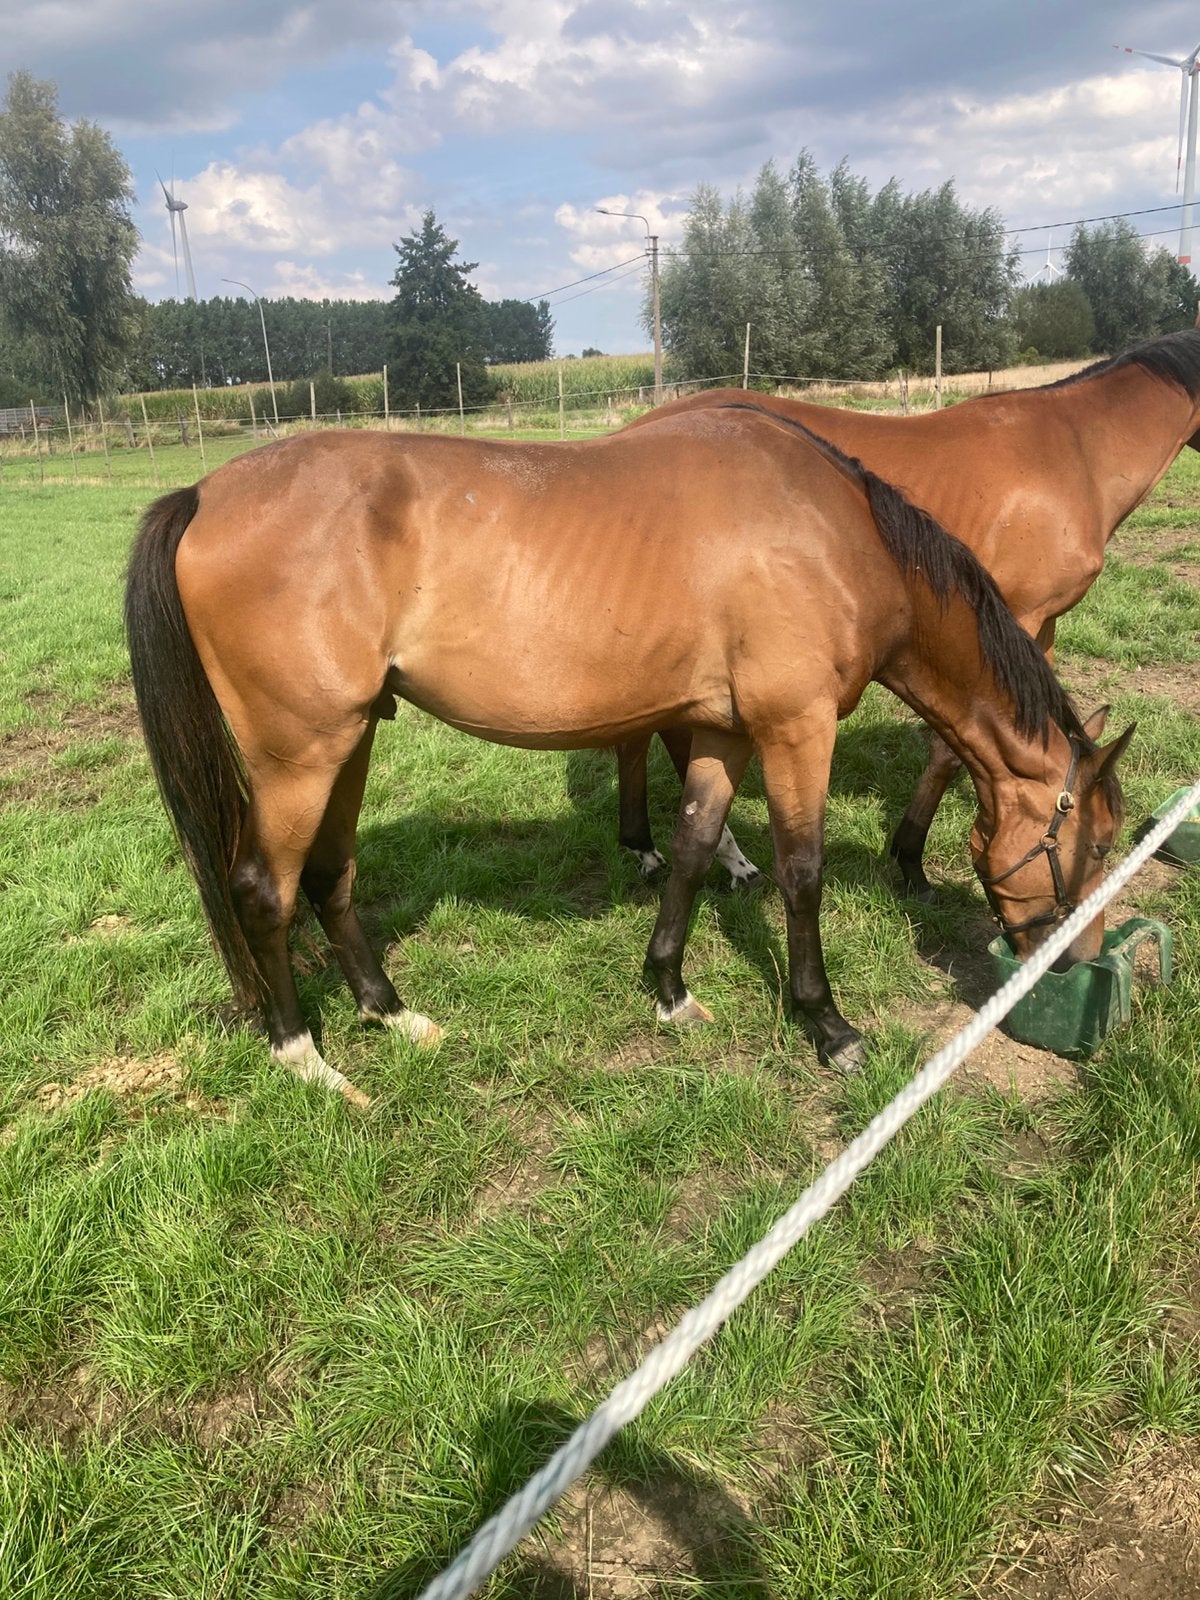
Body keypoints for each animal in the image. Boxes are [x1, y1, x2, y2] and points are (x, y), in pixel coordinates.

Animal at [124, 406, 1130, 1101]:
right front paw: (827, 1024)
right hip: (300, 755)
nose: (1074, 960)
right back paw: (307, 1061)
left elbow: (692, 847)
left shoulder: (726, 731)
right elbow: (802, 873)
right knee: (264, 891)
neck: (836, 536)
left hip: (354, 738)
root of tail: (203, 495)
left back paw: (394, 1015)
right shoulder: (797, 729)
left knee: (331, 875)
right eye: (1098, 841)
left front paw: (669, 987)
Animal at [618, 327, 1200, 894]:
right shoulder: (1010, 618)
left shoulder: (1038, 626)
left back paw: (645, 846)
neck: (1076, 452)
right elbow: (950, 748)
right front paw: (910, 860)